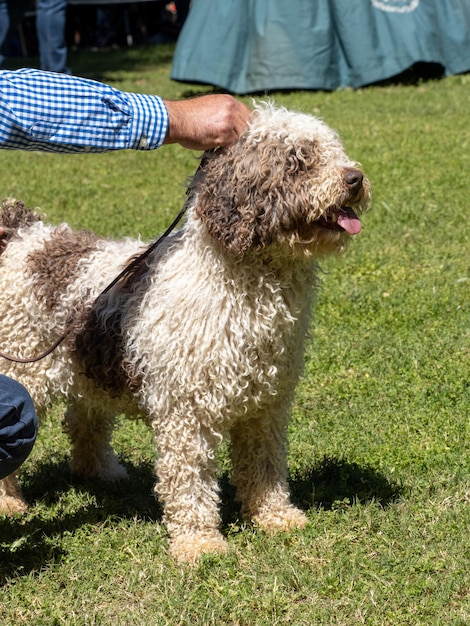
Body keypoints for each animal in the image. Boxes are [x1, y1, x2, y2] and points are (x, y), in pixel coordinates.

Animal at [0, 102, 370, 560]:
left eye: (335, 150)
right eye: (298, 161)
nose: (355, 178)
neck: (249, 288)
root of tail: (24, 236)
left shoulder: (267, 404)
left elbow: (264, 463)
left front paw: (275, 517)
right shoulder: (187, 410)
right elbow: (189, 479)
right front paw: (199, 544)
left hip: (89, 364)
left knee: (85, 419)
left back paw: (101, 472)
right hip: (24, 365)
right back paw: (9, 502)